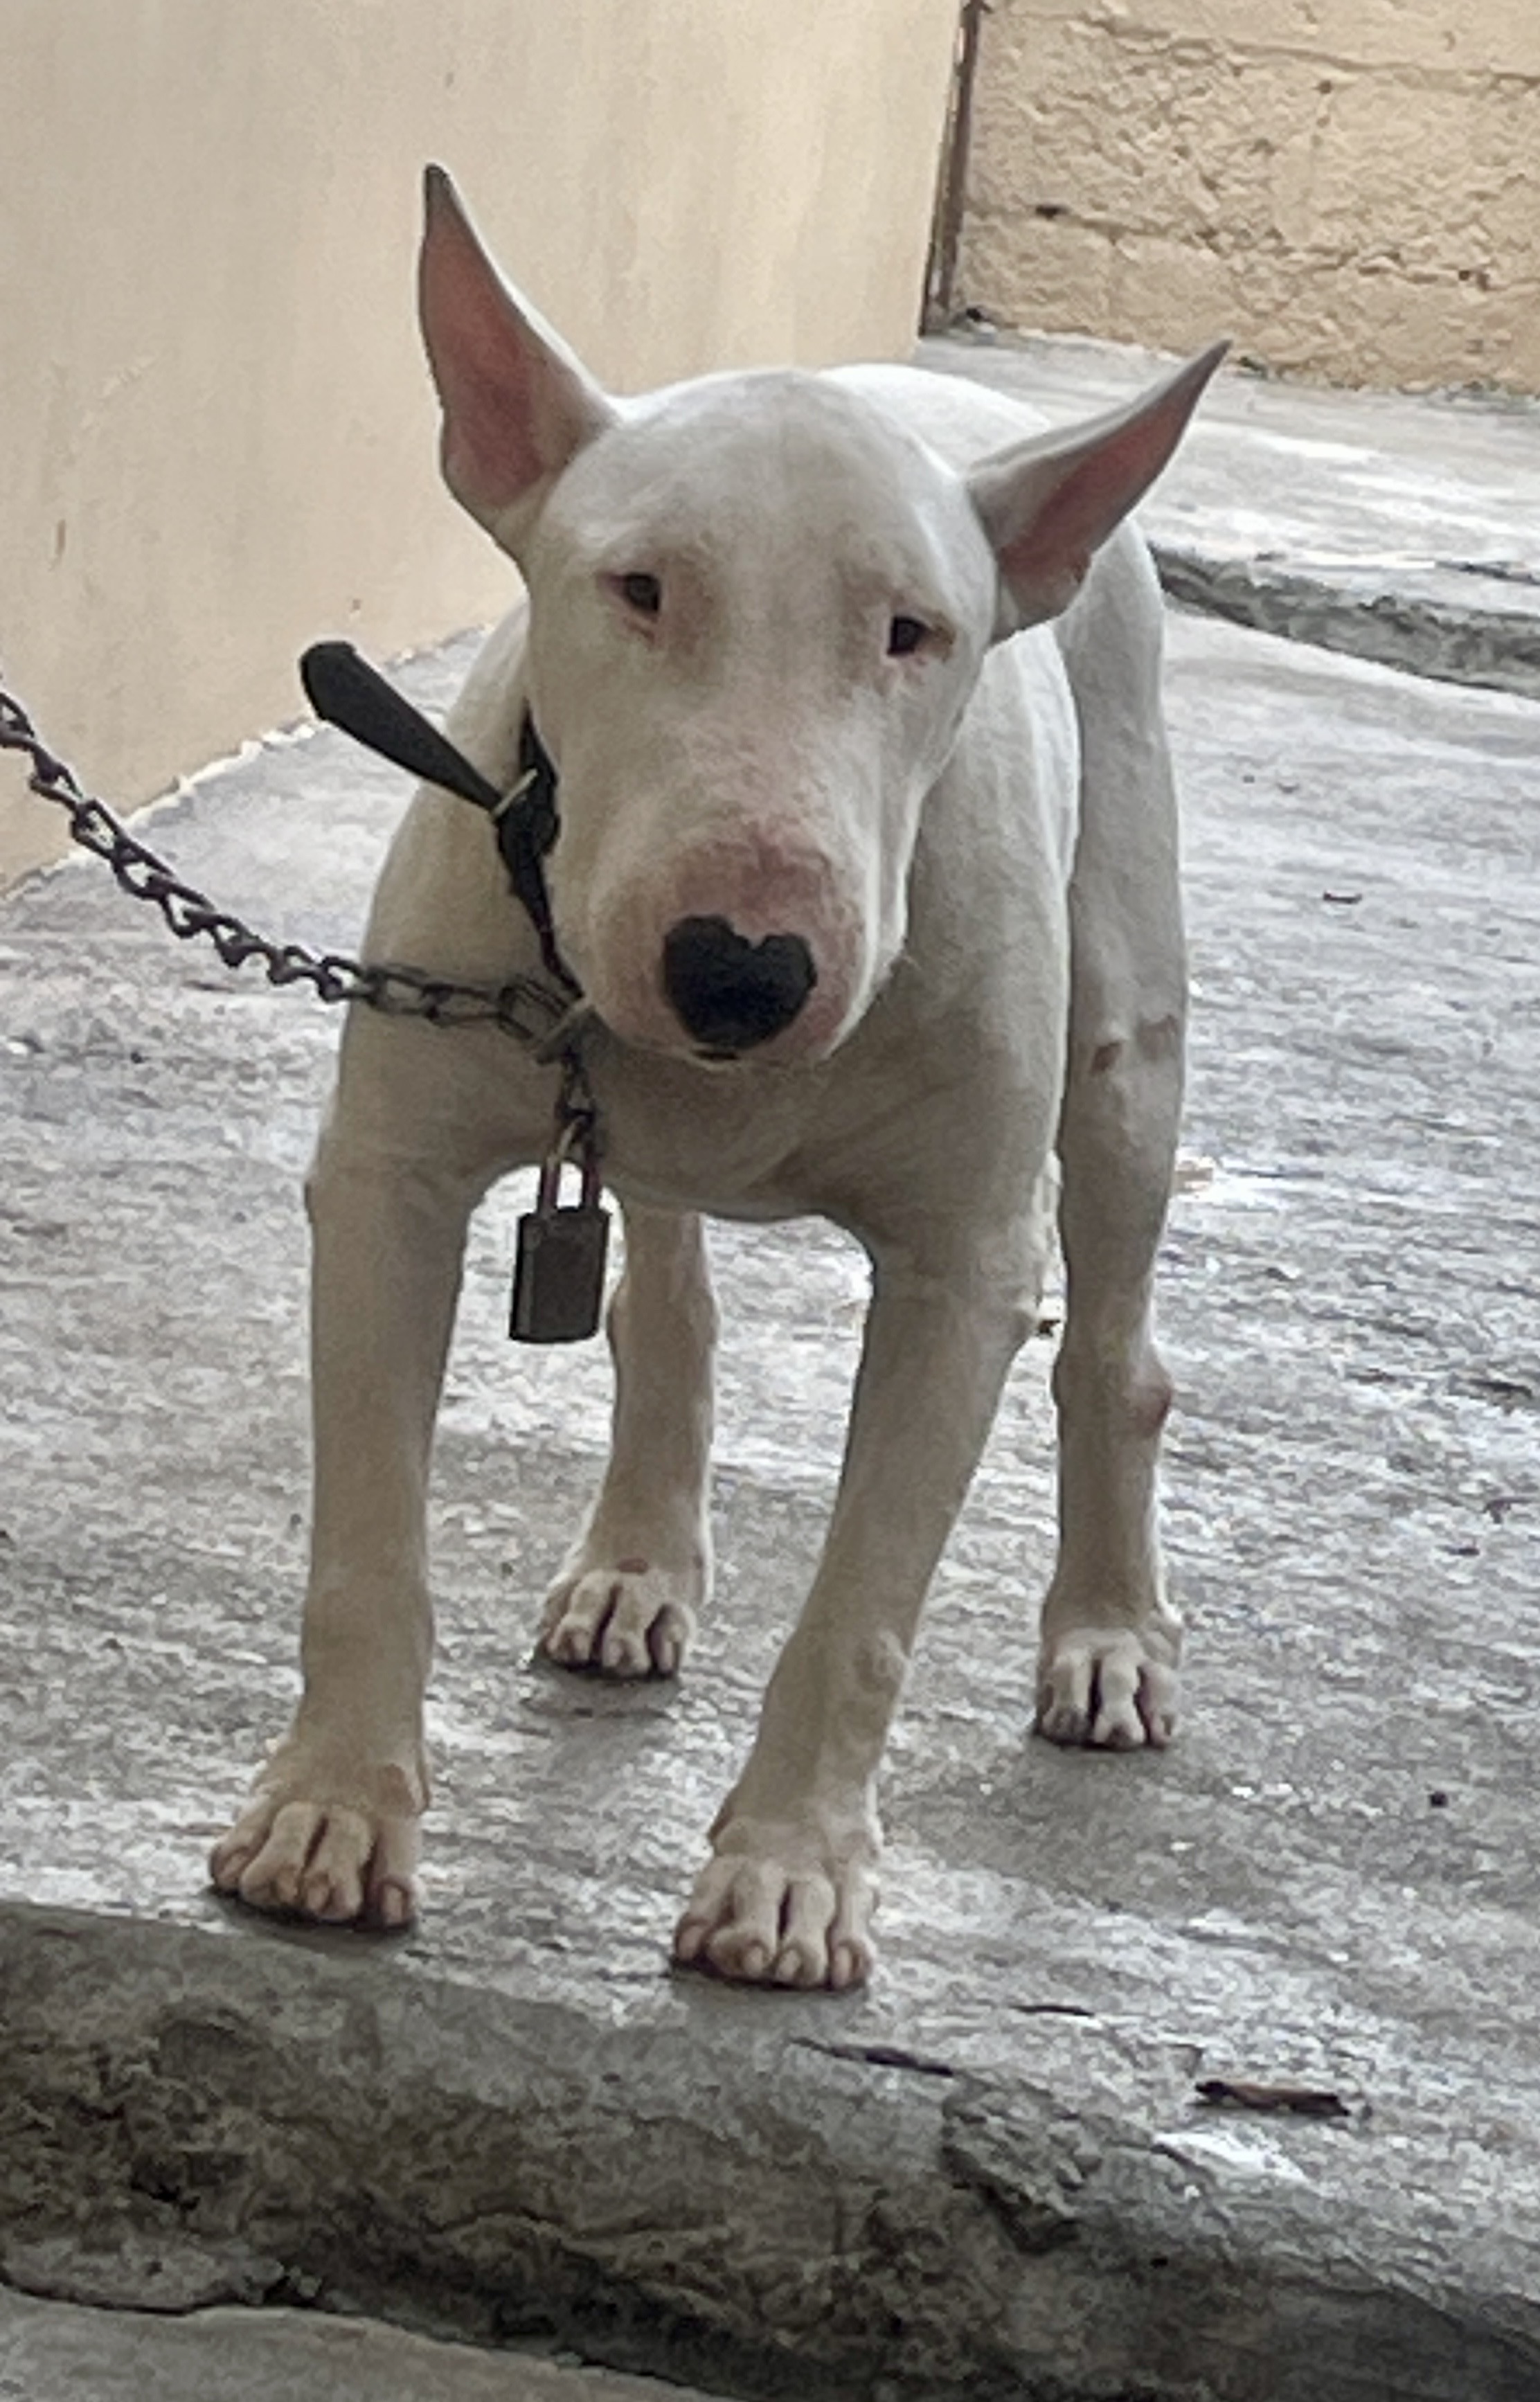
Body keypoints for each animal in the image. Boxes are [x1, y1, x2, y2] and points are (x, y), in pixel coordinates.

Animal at [210, 159, 1220, 1979]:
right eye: (638, 588)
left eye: (912, 632)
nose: (742, 970)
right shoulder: (392, 1180)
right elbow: (367, 1533)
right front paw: (327, 1817)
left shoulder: (960, 1266)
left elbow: (867, 1606)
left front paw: (789, 1878)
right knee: (663, 1300)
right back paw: (632, 1562)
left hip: (1120, 1046)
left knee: (1113, 1345)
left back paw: (1107, 1633)